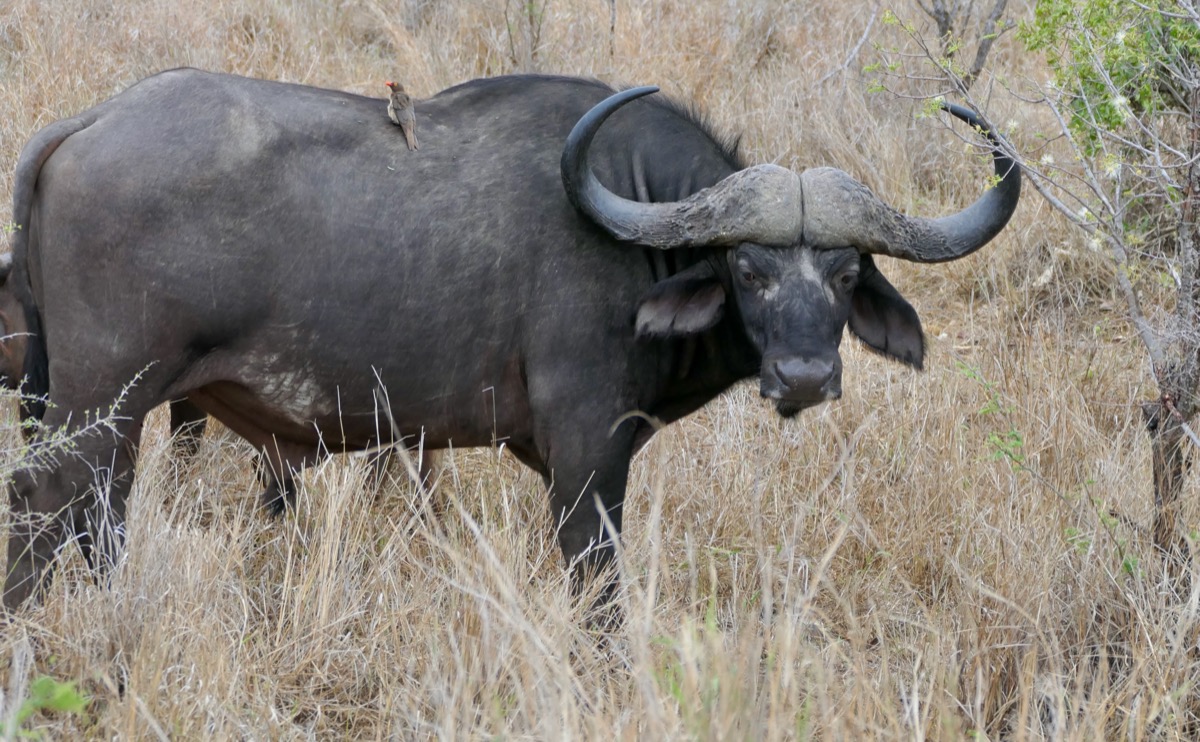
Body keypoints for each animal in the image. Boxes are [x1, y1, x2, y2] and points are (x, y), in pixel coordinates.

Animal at [2, 70, 1019, 610]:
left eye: (846, 273)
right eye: (748, 271)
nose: (805, 376)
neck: (635, 226)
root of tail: (88, 124)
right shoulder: (588, 458)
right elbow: (597, 589)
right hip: (102, 409)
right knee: (57, 515)